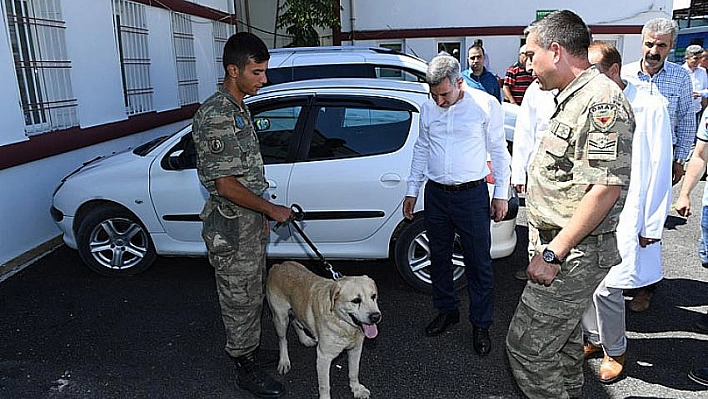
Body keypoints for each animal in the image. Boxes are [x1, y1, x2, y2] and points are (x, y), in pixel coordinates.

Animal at [266, 262, 382, 399]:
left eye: (373, 296)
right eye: (356, 300)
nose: (376, 316)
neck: (342, 323)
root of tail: (278, 265)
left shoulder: (356, 349)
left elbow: (354, 372)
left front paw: (356, 389)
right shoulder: (324, 356)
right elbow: (324, 385)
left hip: (297, 309)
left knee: (296, 322)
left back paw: (305, 339)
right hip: (280, 319)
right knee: (282, 340)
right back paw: (284, 361)